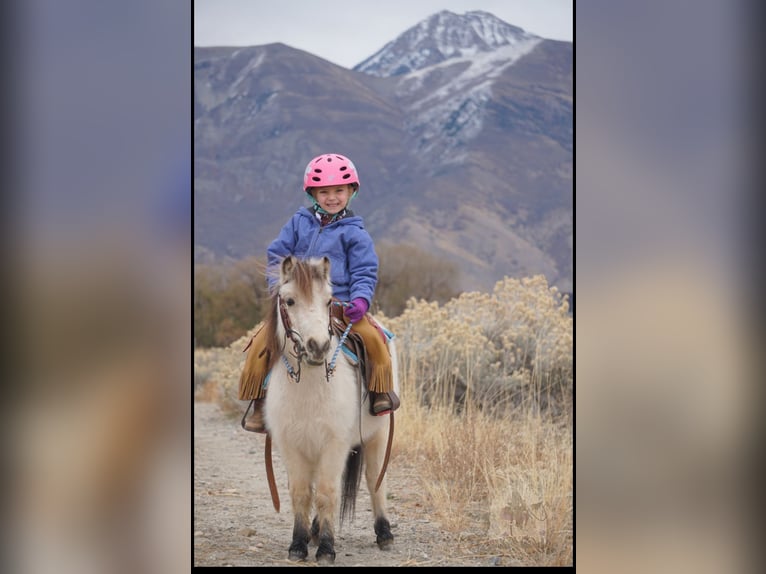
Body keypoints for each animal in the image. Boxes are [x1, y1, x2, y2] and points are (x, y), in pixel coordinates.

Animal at [260, 256, 400, 568]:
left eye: (327, 301)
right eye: (289, 301)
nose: (318, 347)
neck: (309, 388)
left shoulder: (333, 444)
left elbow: (326, 493)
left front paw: (326, 548)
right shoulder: (292, 445)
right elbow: (301, 493)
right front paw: (298, 545)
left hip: (378, 435)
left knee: (375, 479)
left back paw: (384, 533)